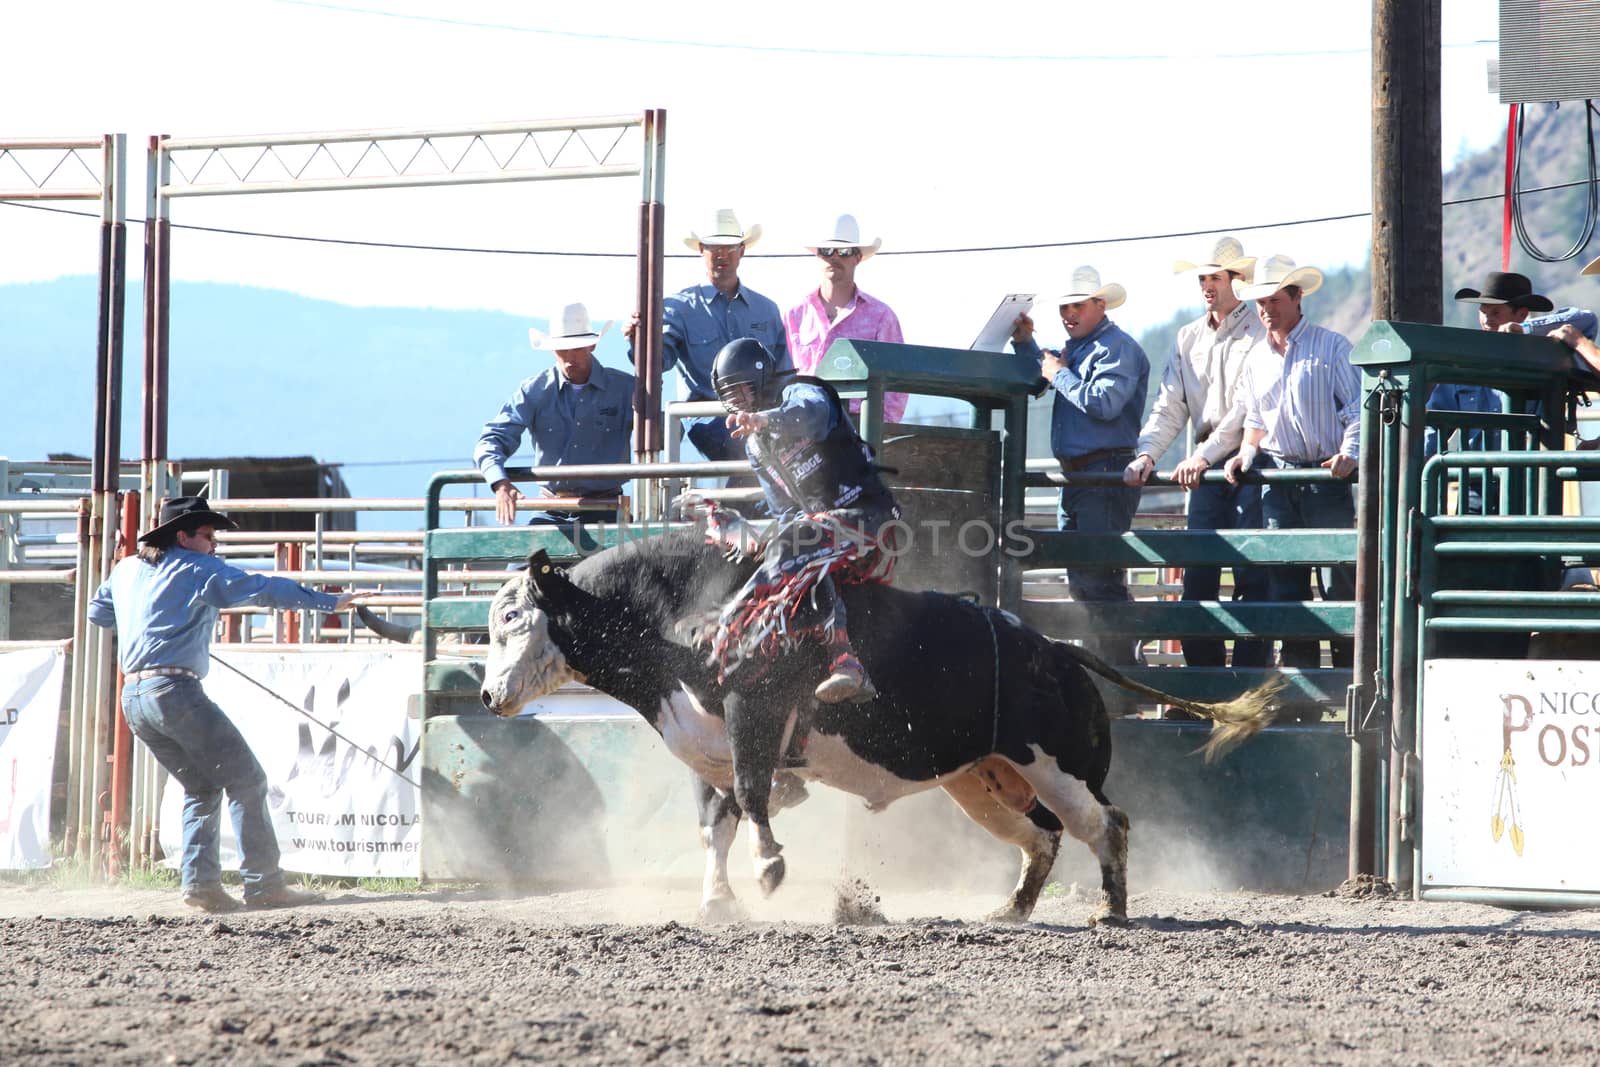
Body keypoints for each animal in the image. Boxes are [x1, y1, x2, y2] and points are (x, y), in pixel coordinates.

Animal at [473, 534, 1273, 927]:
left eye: (512, 616)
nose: (486, 693)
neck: (691, 613)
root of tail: (1058, 653)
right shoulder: (713, 748)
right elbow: (718, 823)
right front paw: (718, 901)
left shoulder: (751, 718)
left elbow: (756, 801)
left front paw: (770, 871)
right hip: (980, 781)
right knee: (1041, 838)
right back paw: (1011, 910)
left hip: (1056, 764)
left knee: (1104, 823)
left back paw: (1112, 910)